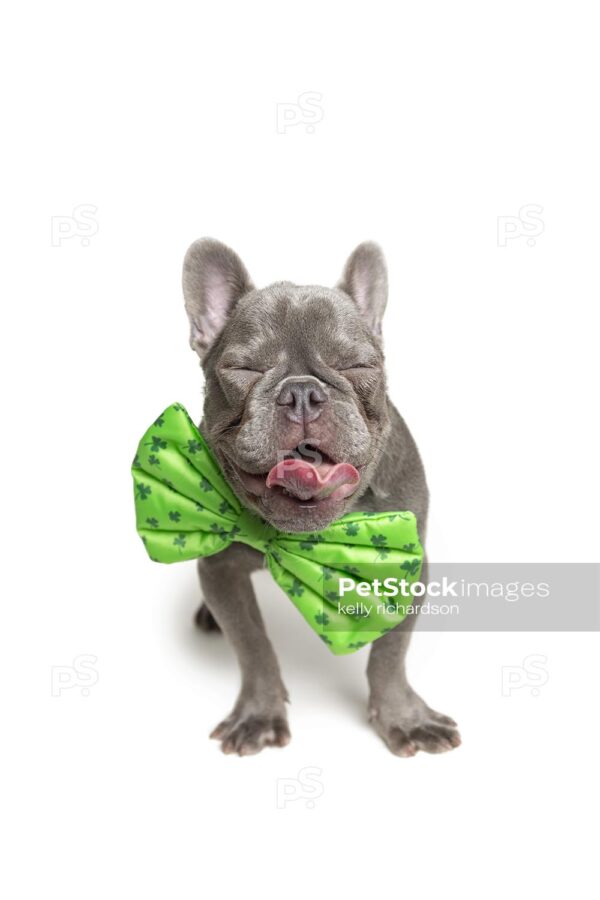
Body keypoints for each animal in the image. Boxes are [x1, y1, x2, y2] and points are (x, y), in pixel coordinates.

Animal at [180, 241, 462, 760]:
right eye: (242, 369)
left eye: (358, 366)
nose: (302, 392)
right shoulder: (221, 567)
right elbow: (252, 645)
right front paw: (259, 714)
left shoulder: (409, 566)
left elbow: (391, 655)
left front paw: (404, 718)